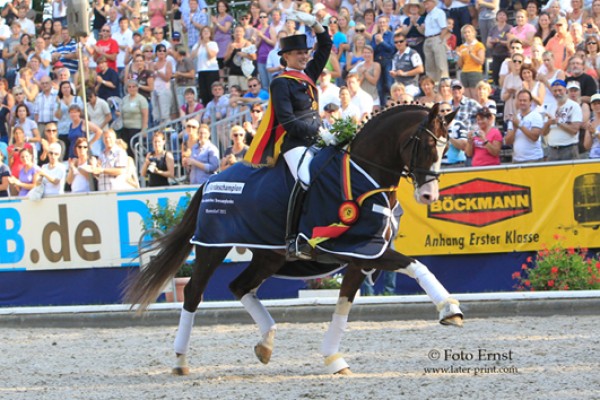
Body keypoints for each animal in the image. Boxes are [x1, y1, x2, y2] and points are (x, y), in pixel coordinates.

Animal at [125, 102, 464, 376]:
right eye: (425, 145)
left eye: (446, 147)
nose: (428, 195)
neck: (364, 174)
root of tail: (212, 179)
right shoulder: (358, 249)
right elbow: (416, 265)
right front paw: (449, 309)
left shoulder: (362, 256)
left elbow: (343, 307)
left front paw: (333, 359)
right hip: (213, 248)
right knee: (194, 293)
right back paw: (180, 361)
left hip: (269, 256)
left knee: (239, 286)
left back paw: (266, 344)